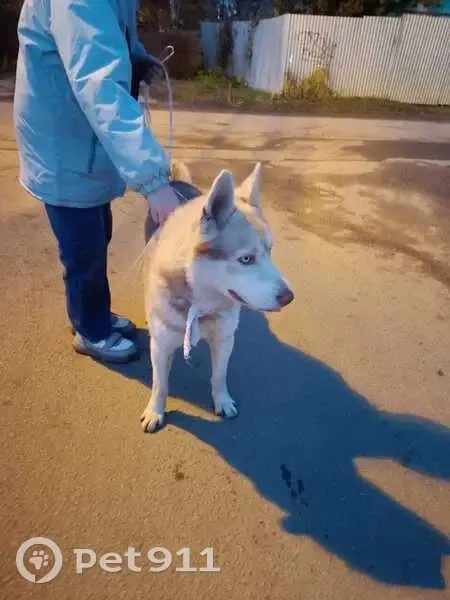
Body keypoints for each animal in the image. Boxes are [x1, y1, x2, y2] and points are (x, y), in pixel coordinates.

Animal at [140, 161, 294, 433]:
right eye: (246, 259)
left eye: (270, 251)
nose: (289, 297)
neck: (202, 305)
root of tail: (176, 182)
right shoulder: (160, 346)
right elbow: (160, 384)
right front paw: (155, 411)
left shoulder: (224, 339)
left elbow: (219, 375)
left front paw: (222, 401)